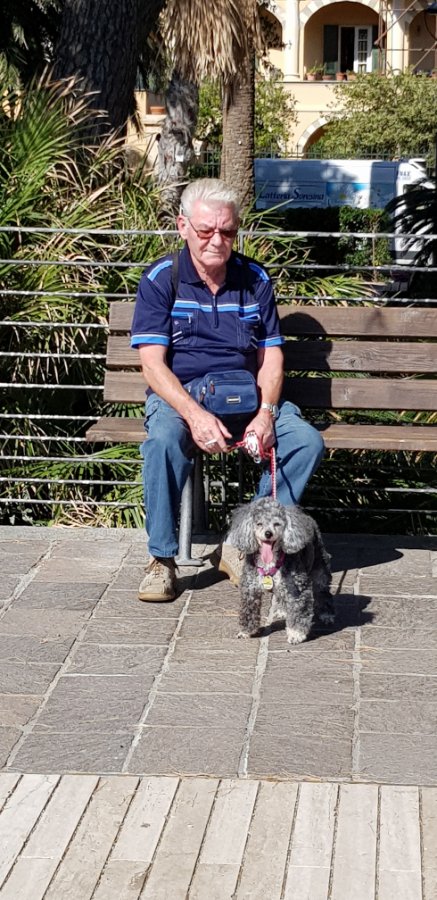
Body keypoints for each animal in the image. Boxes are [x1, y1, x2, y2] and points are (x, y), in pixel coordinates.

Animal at [227, 497, 334, 644]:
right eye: (259, 523)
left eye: (277, 524)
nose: (268, 533)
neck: (269, 562)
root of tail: (308, 518)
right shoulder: (250, 588)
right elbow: (248, 610)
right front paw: (245, 631)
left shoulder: (298, 588)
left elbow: (299, 611)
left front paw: (296, 634)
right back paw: (283, 611)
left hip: (320, 570)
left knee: (323, 592)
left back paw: (327, 614)